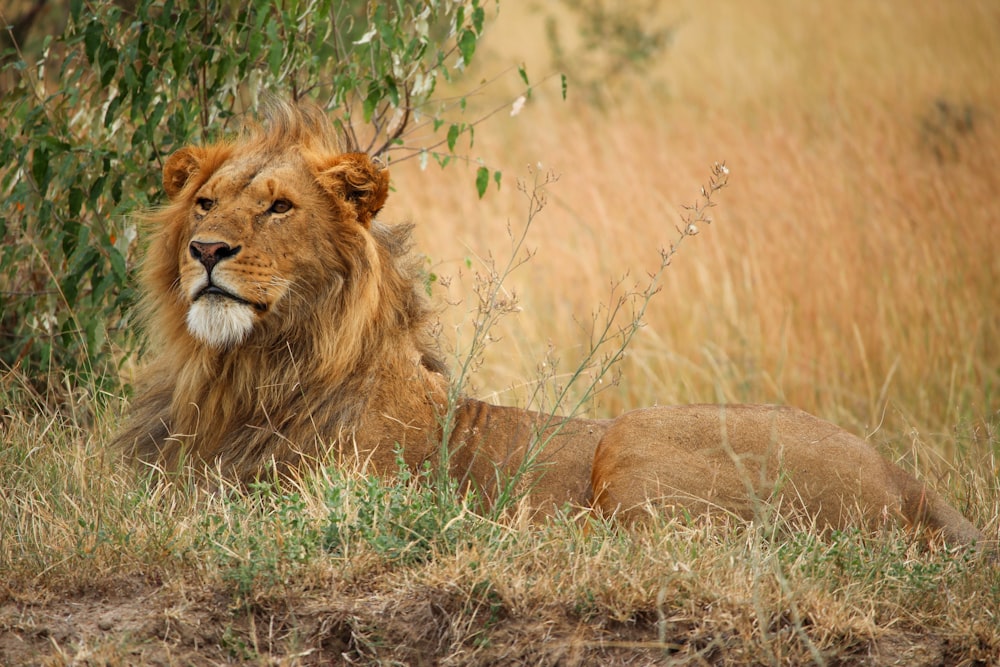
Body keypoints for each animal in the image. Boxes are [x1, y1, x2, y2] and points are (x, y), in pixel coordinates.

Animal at [115, 103, 984, 548]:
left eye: (279, 207)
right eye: (203, 201)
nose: (206, 251)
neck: (239, 370)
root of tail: (909, 481)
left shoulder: (321, 495)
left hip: (632, 441)